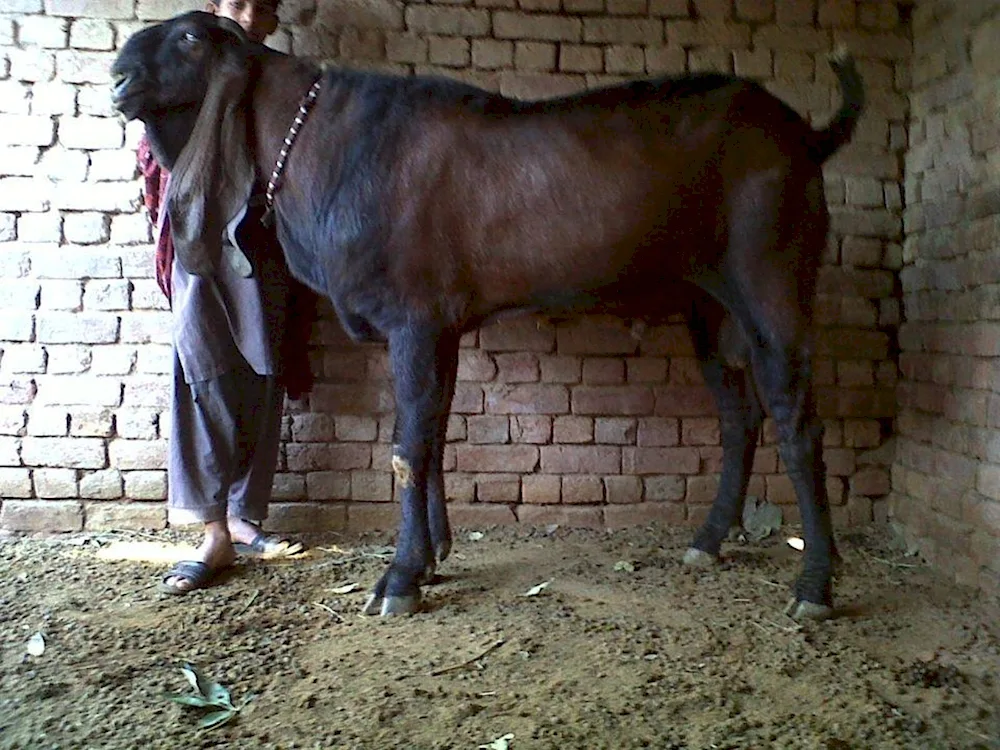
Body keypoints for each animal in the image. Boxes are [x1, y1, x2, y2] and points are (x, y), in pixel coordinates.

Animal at [111, 13, 868, 624]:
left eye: (189, 36)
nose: (118, 75)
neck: (327, 143)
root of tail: (807, 135)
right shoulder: (441, 324)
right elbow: (434, 432)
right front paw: (433, 555)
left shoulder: (412, 318)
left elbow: (407, 448)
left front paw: (399, 580)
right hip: (708, 301)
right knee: (741, 416)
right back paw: (708, 542)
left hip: (771, 273)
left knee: (798, 421)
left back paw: (815, 586)